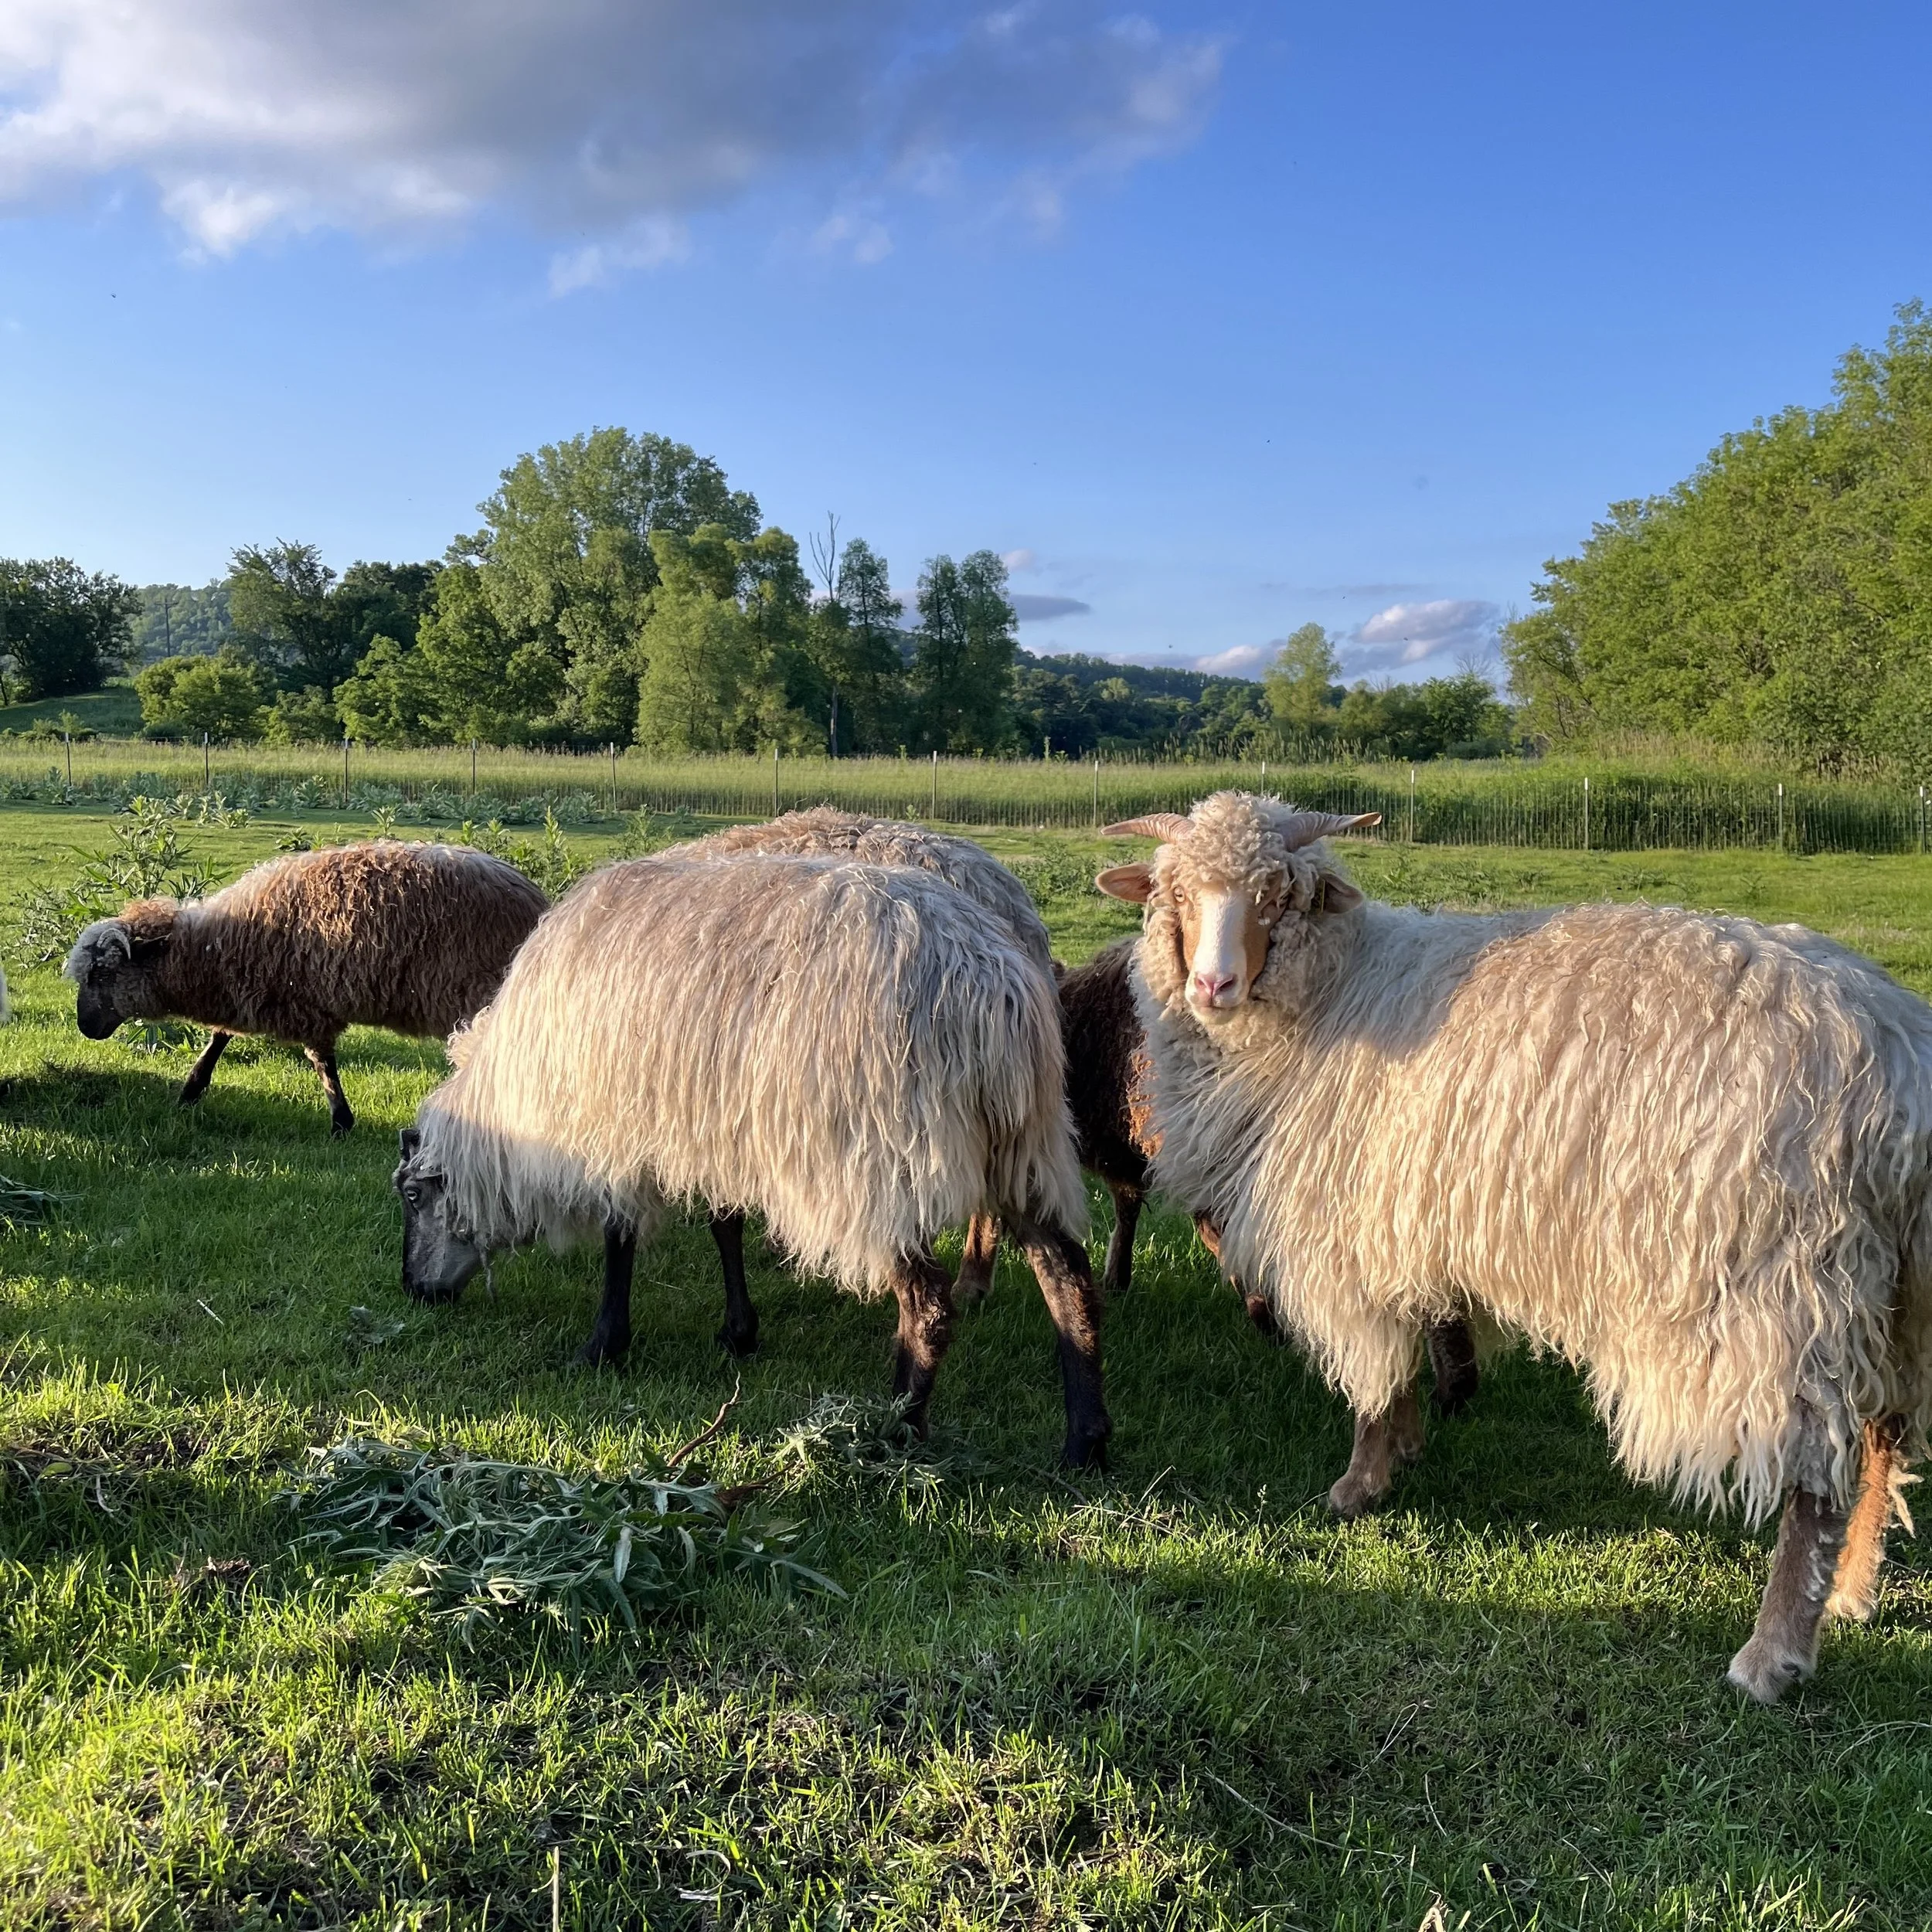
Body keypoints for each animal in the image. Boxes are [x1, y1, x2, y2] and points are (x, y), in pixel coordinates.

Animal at [65, 841, 548, 1134]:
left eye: (103, 975)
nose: (85, 1028)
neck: (213, 949)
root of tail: (537, 902)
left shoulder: (307, 1001)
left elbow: (323, 1065)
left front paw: (341, 1122)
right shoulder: (255, 988)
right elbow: (220, 1037)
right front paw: (191, 1090)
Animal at [1099, 791, 1932, 1701]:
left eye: (1279, 898)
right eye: (1176, 896)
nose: (1212, 985)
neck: (1337, 989)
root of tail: (1900, 1064)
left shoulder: (1346, 1236)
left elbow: (1371, 1375)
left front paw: (1356, 1485)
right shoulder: (1402, 1229)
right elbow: (1412, 1352)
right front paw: (1407, 1446)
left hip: (1786, 1287)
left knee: (1818, 1472)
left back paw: (1773, 1652)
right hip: (1891, 1292)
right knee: (1885, 1439)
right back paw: (1852, 1591)